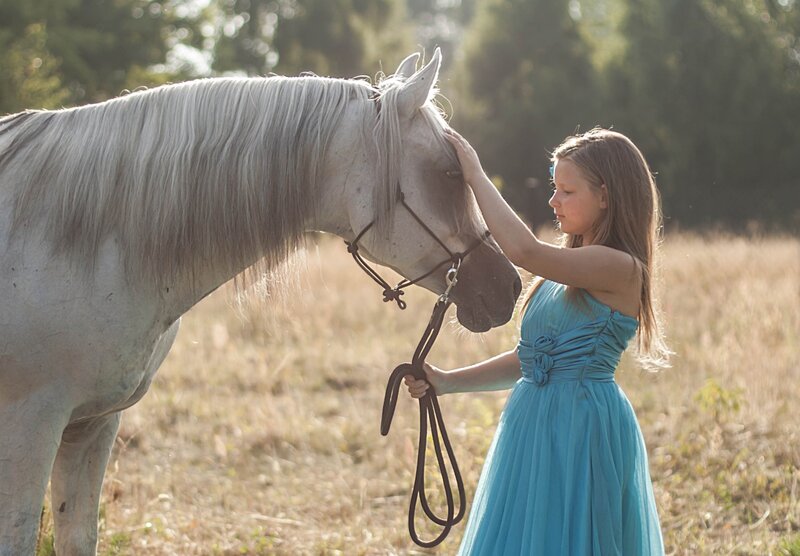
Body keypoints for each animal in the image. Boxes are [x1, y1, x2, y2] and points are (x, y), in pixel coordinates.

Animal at [0, 49, 521, 555]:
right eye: (450, 172)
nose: (510, 287)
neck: (81, 240)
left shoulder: (94, 425)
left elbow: (78, 535)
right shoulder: (31, 425)